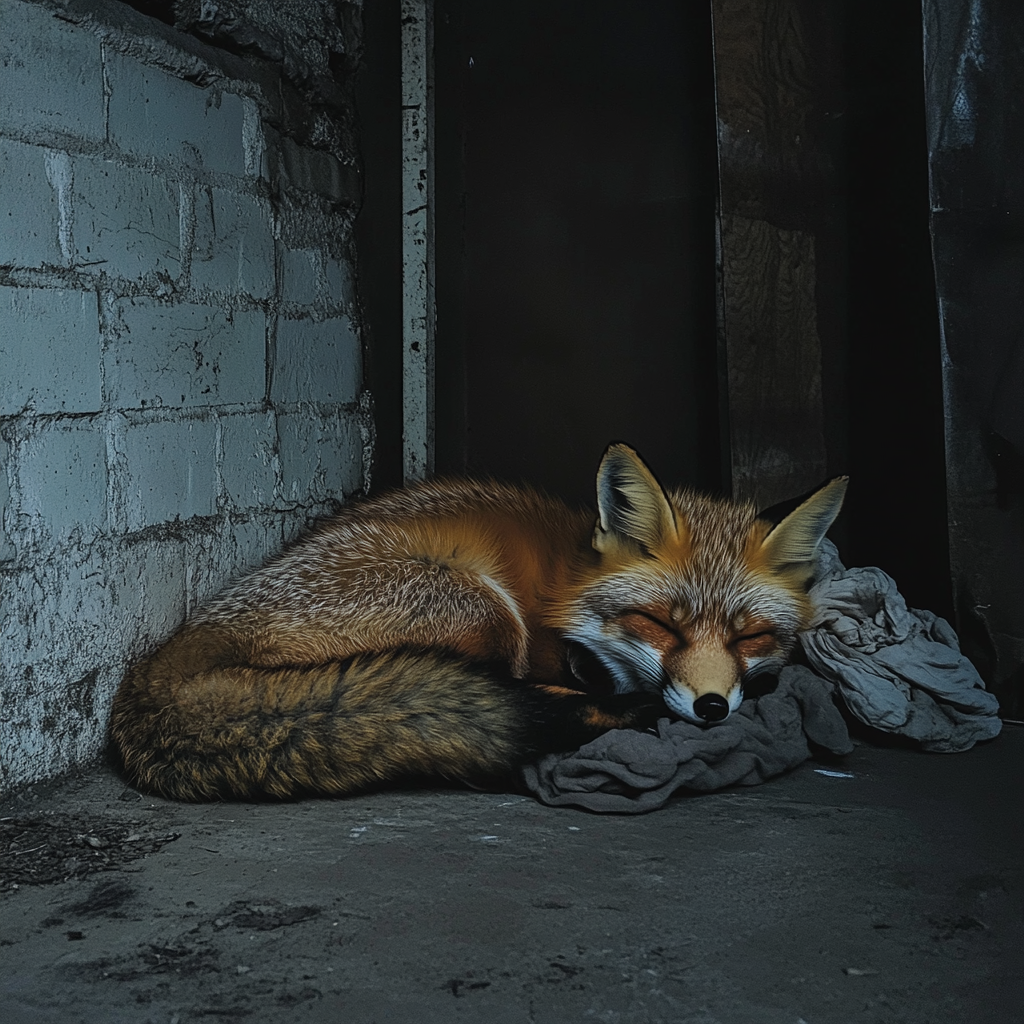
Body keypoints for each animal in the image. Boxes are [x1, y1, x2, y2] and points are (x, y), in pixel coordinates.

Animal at [112, 444, 847, 802]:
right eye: (660, 625)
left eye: (750, 636)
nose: (713, 707)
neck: (568, 580)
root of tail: (160, 666)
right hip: (480, 606)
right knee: (495, 689)